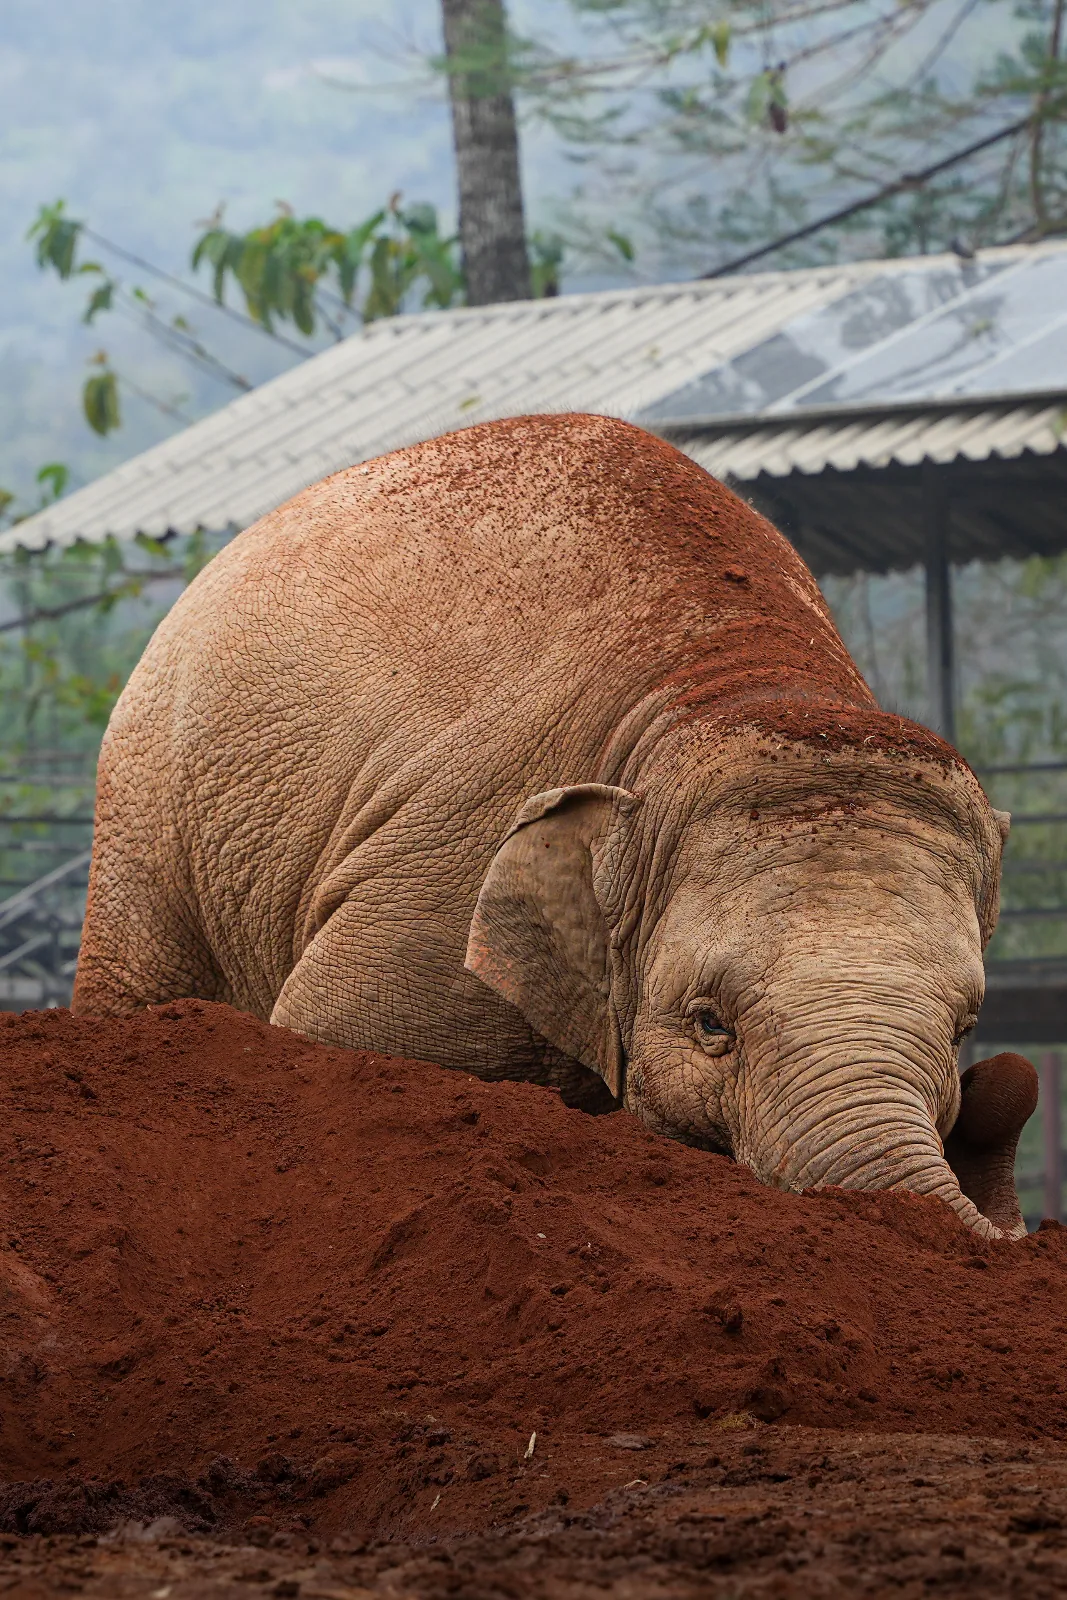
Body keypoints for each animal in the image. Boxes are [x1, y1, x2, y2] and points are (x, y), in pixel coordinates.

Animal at [73, 412, 1036, 1238]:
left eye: (962, 1031)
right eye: (708, 1024)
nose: (1010, 1081)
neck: (739, 680)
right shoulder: (446, 879)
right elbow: (335, 1037)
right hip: (146, 807)